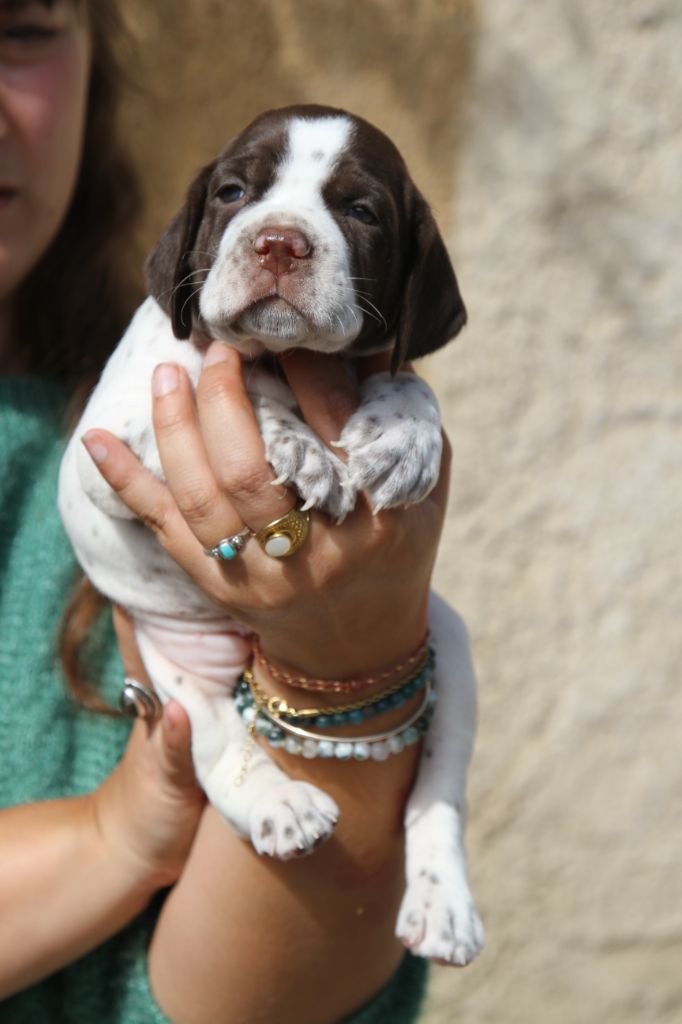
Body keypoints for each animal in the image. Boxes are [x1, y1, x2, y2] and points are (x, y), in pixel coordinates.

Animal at [59, 105, 484, 966]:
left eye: (361, 211)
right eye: (232, 193)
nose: (280, 243)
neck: (289, 360)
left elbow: (406, 377)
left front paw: (403, 435)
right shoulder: (104, 445)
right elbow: (231, 384)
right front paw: (291, 442)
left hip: (446, 641)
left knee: (440, 791)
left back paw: (444, 903)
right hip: (176, 658)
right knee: (217, 739)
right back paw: (281, 806)